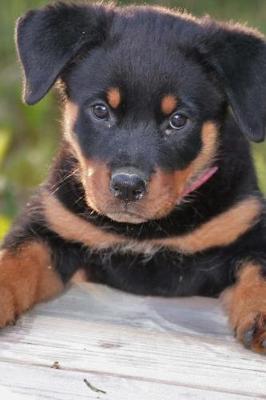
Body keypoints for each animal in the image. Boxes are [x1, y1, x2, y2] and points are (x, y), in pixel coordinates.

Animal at [0, 3, 266, 354]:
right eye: (100, 110)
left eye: (178, 120)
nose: (127, 186)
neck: (144, 233)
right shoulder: (51, 226)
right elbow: (18, 257)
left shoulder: (248, 228)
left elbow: (261, 269)